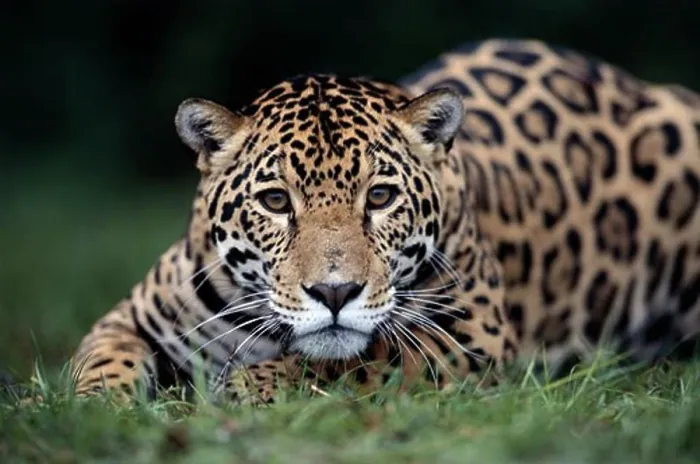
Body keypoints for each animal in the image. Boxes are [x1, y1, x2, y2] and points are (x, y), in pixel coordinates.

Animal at [70, 38, 700, 404]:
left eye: (379, 197)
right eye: (275, 201)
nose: (334, 292)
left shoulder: (473, 334)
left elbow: (360, 361)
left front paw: (252, 384)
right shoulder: (130, 319)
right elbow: (101, 365)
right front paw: (89, 413)